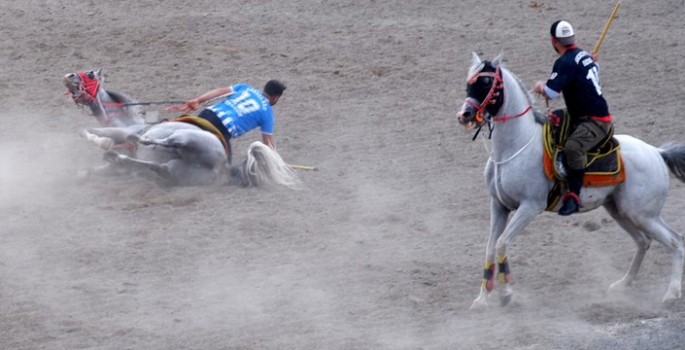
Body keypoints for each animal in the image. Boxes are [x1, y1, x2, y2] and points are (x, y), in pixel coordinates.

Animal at [454, 52, 684, 308]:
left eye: (486, 83)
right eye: (469, 81)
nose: (464, 115)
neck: (515, 146)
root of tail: (657, 152)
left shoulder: (530, 207)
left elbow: (502, 242)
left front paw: (506, 293)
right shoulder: (498, 205)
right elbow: (490, 248)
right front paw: (482, 299)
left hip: (642, 214)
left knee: (676, 242)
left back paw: (671, 294)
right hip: (620, 210)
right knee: (644, 241)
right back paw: (623, 284)